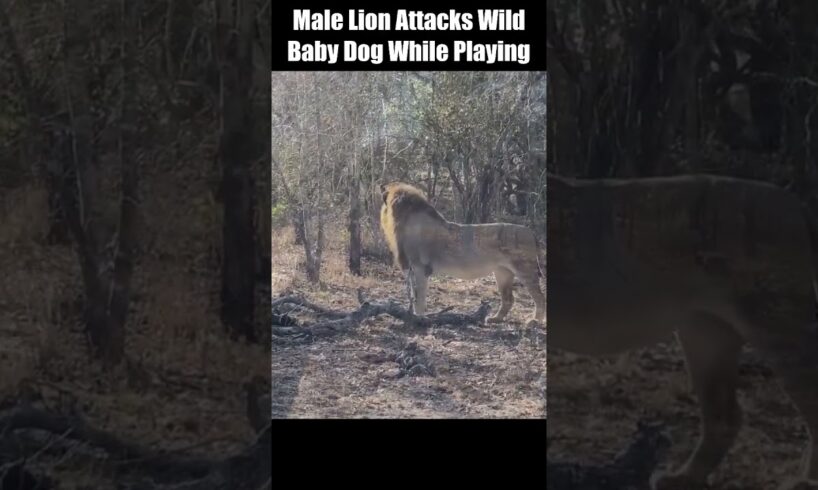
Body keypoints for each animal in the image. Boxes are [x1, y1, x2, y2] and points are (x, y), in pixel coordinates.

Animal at [380, 182, 544, 328]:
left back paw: (534, 321)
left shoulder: (420, 268)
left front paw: (419, 319)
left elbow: (419, 298)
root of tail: (531, 232)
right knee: (509, 298)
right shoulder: (412, 269)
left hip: (525, 269)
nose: (381, 186)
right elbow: (414, 297)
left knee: (539, 297)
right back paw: (495, 319)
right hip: (503, 272)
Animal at [544, 174, 816, 490]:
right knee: (725, 416)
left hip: (779, 328)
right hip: (706, 333)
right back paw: (683, 478)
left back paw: (803, 482)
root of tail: (795, 203)